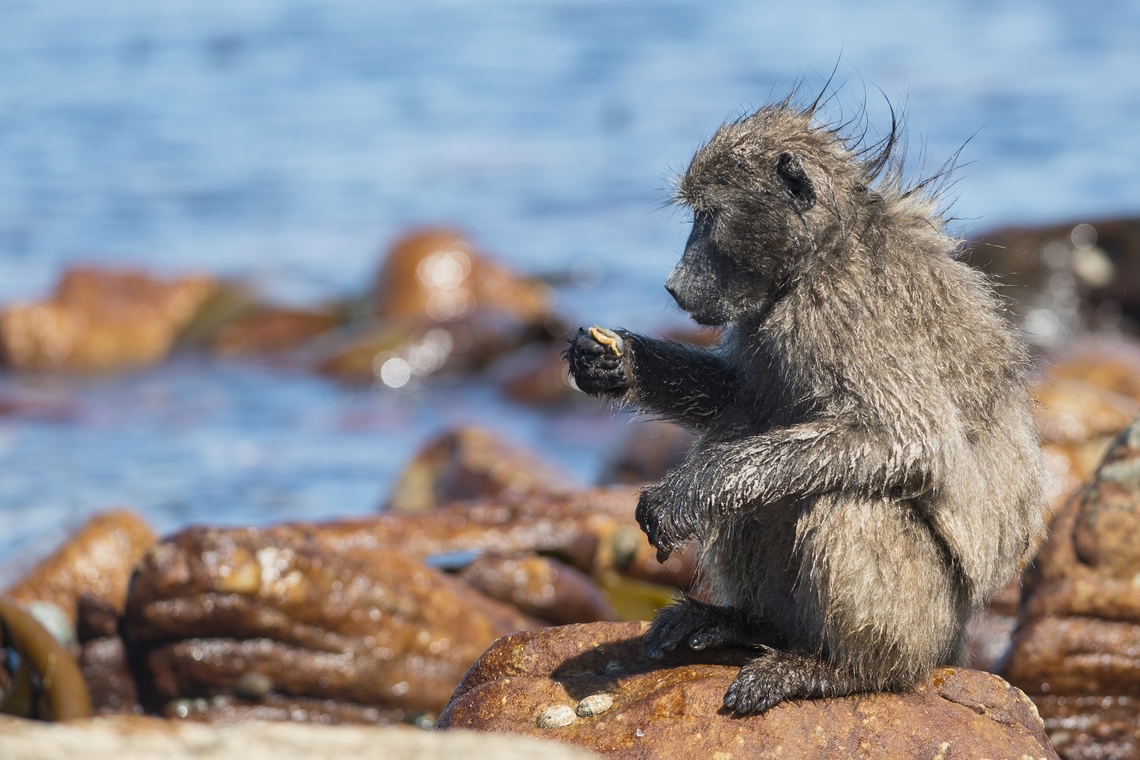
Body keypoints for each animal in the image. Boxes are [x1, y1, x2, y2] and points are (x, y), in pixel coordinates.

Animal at [564, 96, 1044, 714]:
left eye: (709, 216)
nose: (673, 285)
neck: (824, 251)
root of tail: (957, 643)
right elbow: (741, 397)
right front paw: (615, 362)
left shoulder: (840, 311)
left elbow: (906, 440)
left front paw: (684, 494)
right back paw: (745, 623)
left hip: (927, 624)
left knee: (843, 501)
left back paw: (838, 671)